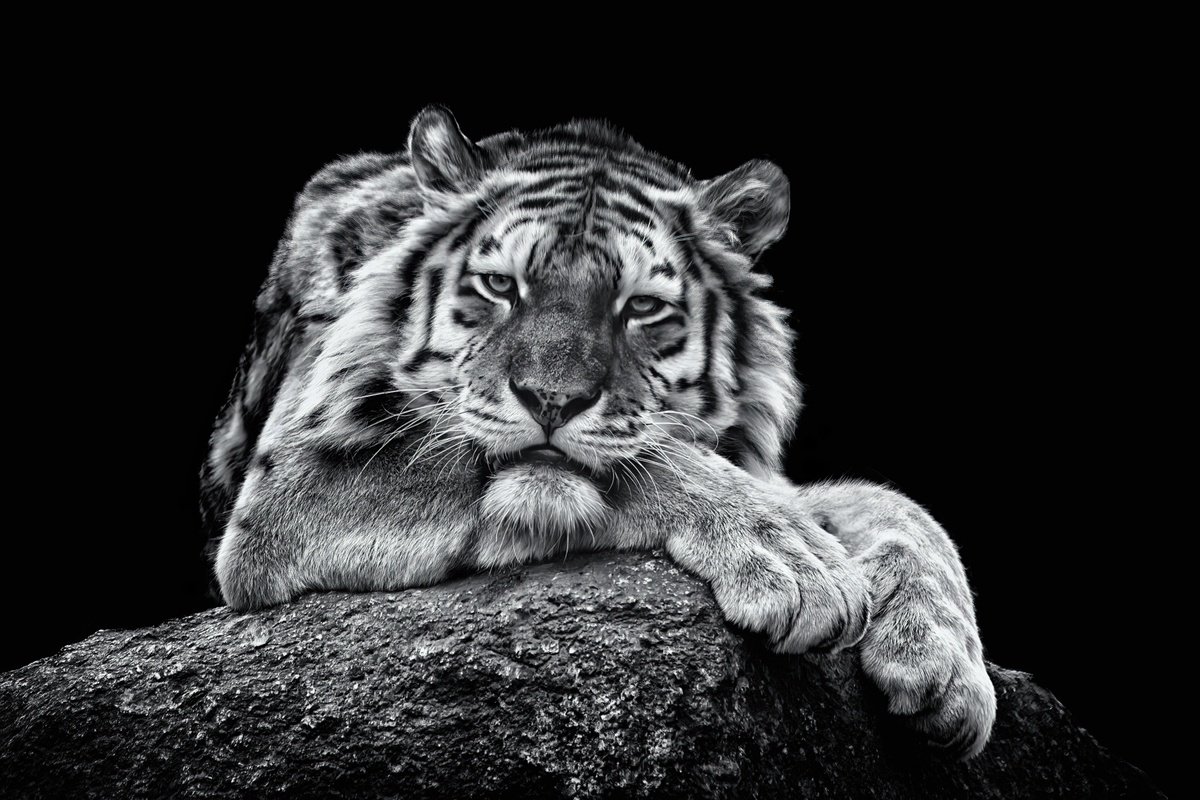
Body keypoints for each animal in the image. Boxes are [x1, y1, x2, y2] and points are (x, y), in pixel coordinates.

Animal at [200, 105, 997, 759]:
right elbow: (652, 461)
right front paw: (798, 564)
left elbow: (892, 504)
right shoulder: (294, 481)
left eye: (641, 306)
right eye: (500, 286)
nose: (552, 400)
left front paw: (945, 668)